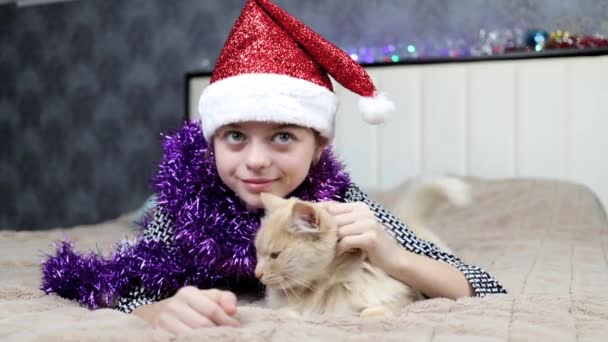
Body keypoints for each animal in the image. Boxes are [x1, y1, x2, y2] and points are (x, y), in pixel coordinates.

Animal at [253, 194, 422, 316]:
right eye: (257, 253)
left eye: (275, 255)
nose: (257, 274)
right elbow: (286, 313)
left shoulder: (402, 299)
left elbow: (373, 312)